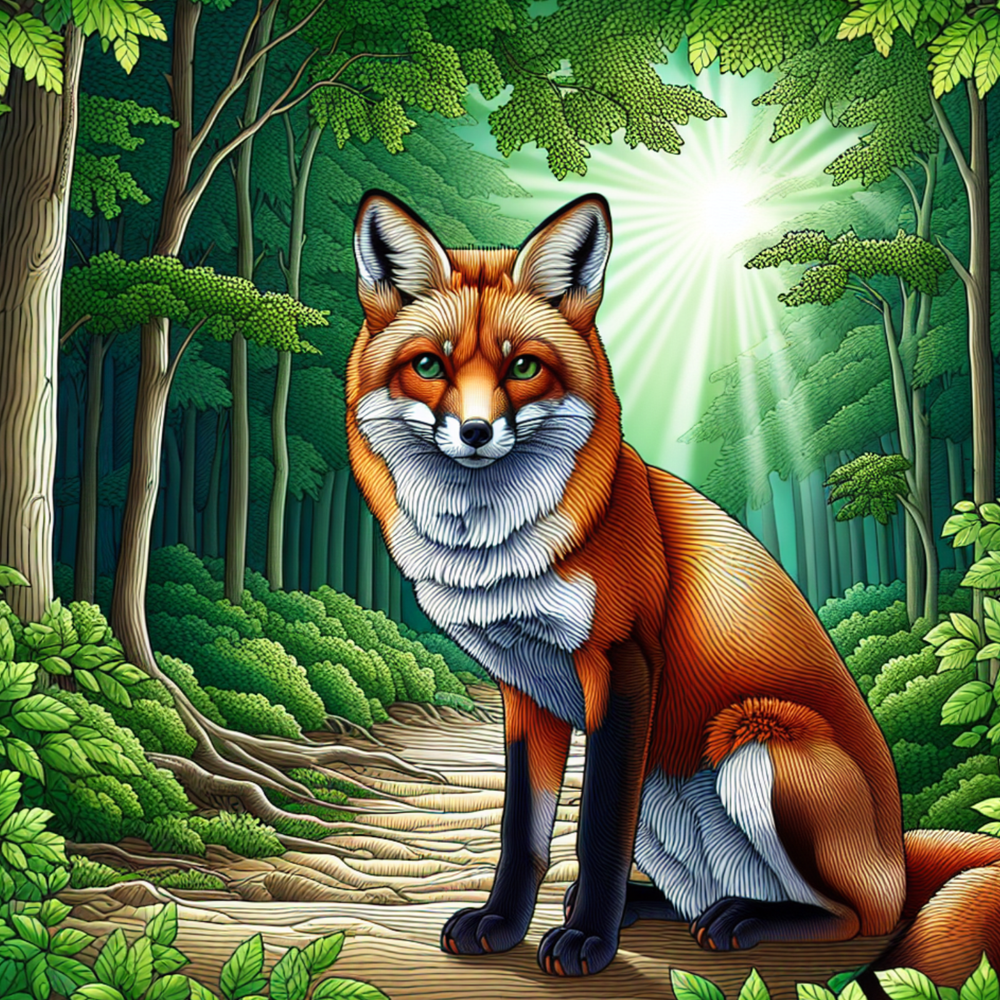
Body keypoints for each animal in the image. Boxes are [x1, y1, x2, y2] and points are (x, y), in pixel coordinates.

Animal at [345, 190, 1000, 986]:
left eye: (524, 366)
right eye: (429, 365)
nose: (474, 432)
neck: (496, 553)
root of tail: (899, 860)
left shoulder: (621, 664)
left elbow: (597, 828)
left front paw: (588, 943)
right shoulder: (524, 689)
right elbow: (523, 832)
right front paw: (503, 924)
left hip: (756, 741)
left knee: (851, 919)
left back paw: (744, 920)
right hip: (670, 799)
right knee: (698, 892)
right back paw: (649, 905)